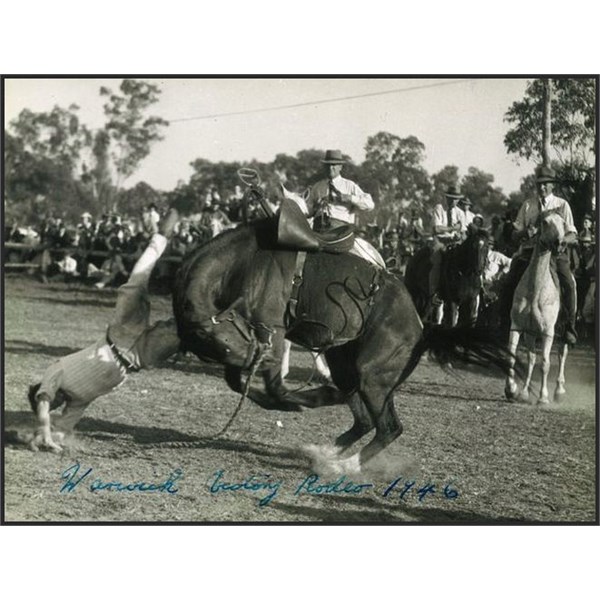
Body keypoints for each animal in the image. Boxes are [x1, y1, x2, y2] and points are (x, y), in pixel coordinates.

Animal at [504, 213, 568, 406]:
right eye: (544, 222)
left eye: (564, 223)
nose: (560, 243)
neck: (536, 290)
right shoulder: (517, 326)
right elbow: (511, 357)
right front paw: (511, 390)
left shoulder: (548, 332)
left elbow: (545, 363)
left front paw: (543, 397)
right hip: (531, 333)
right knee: (531, 359)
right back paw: (524, 392)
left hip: (563, 330)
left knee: (562, 353)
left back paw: (559, 390)